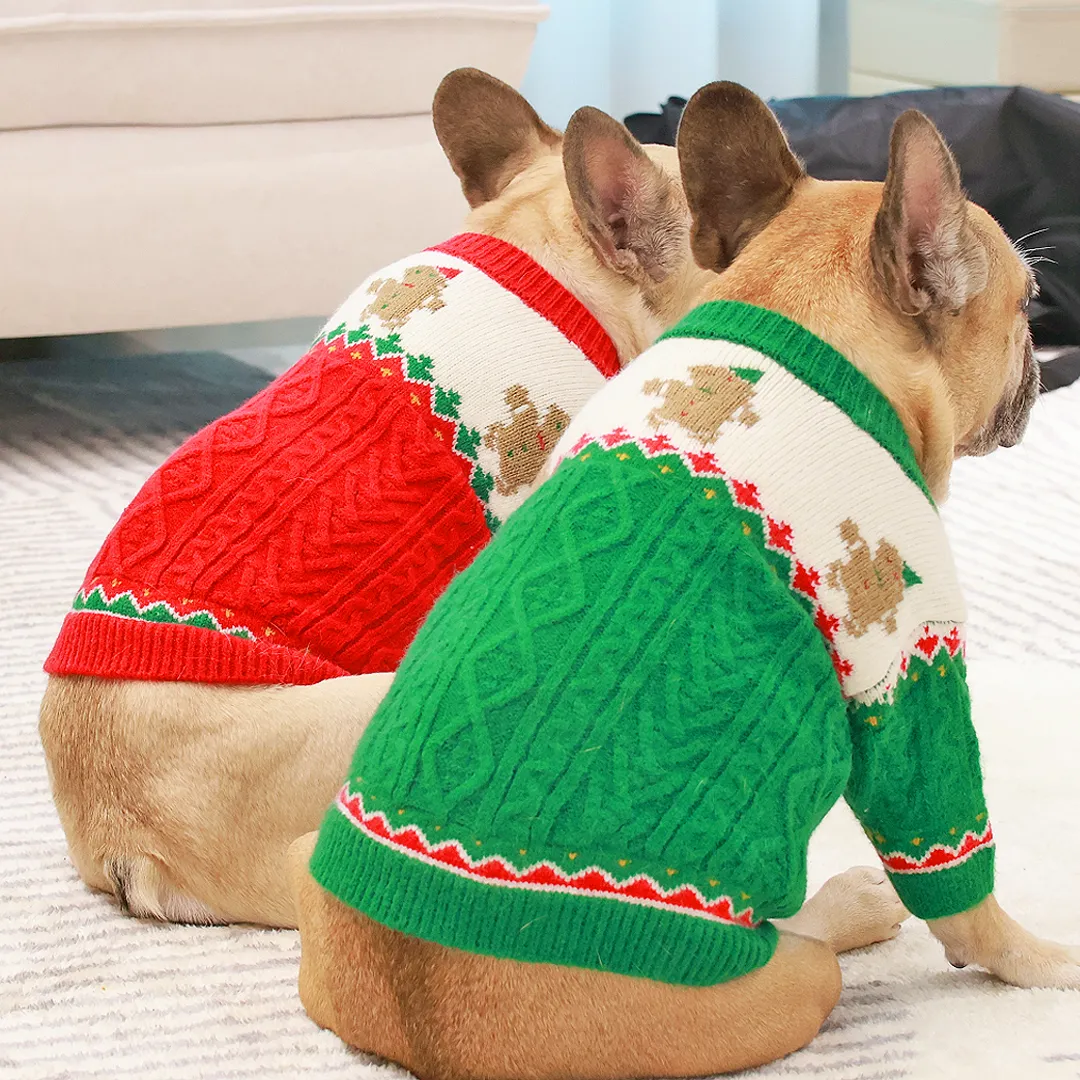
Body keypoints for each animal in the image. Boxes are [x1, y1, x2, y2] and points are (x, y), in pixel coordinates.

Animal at [289, 84, 1071, 1080]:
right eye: (1029, 303)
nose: (1038, 362)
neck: (808, 324)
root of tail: (421, 1035)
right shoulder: (913, 672)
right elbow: (964, 883)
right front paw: (1042, 961)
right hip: (788, 983)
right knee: (807, 945)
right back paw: (853, 907)